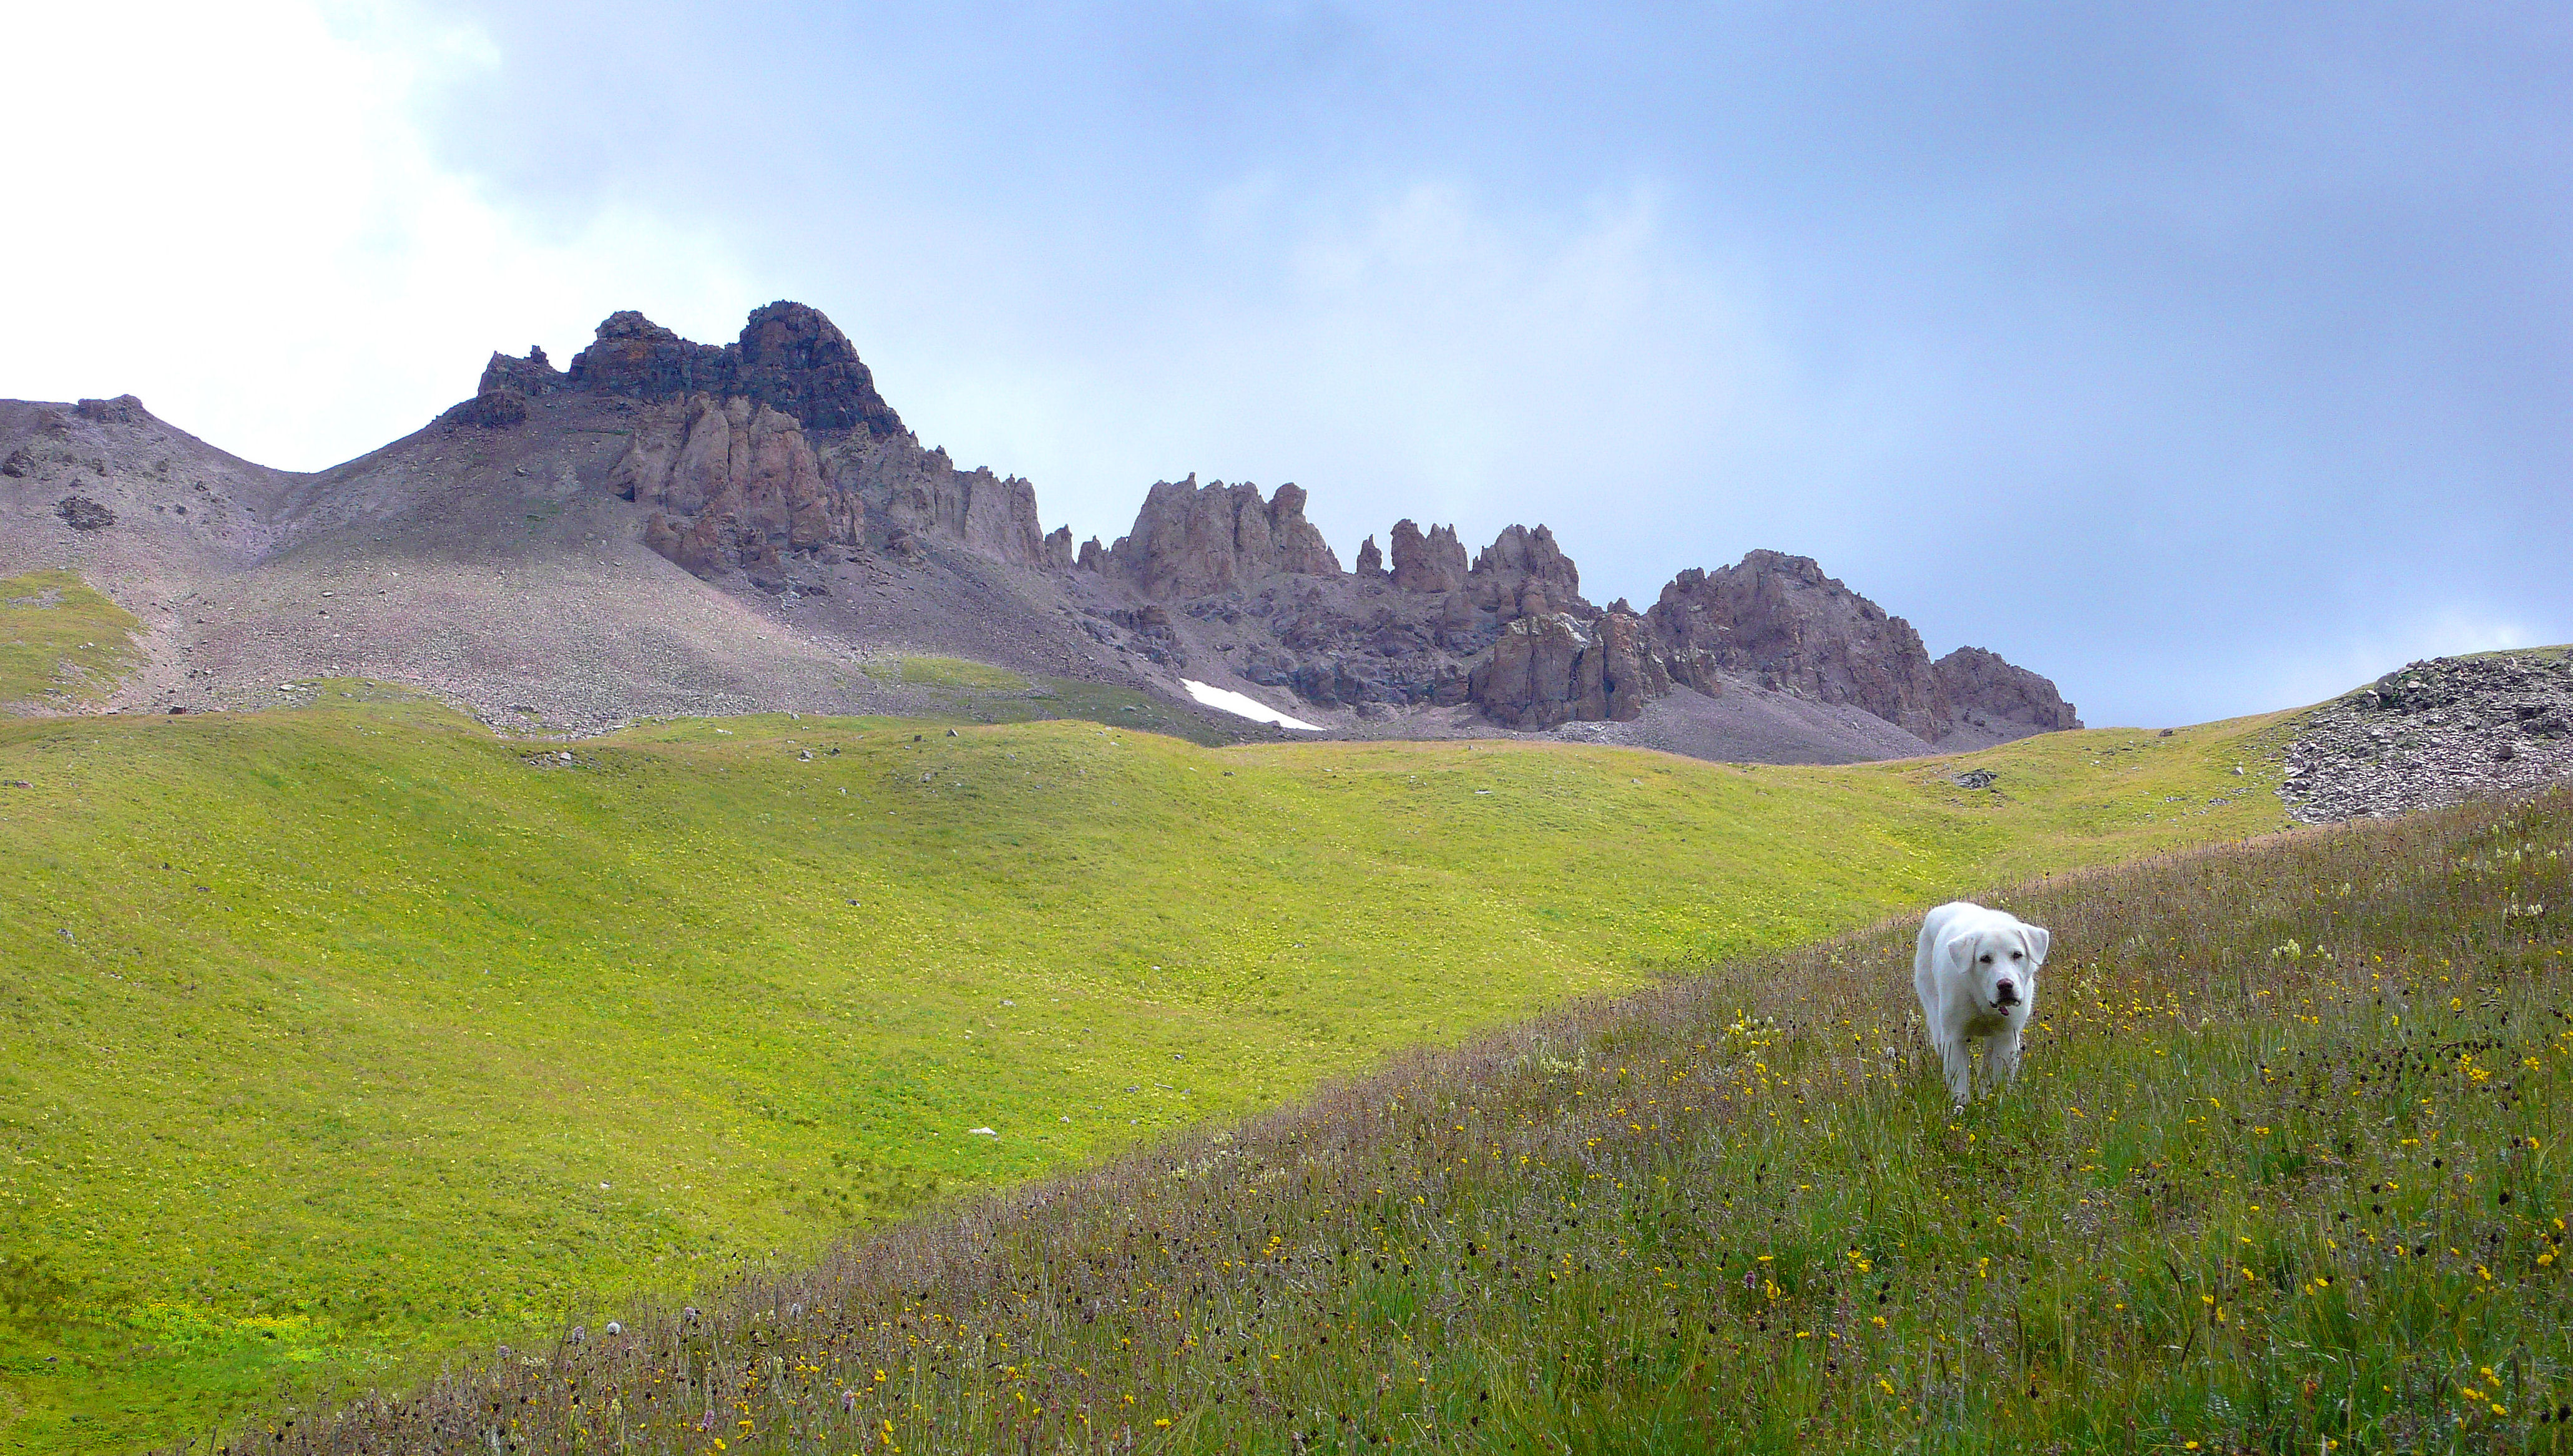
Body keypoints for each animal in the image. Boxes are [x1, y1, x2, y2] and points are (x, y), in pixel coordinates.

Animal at [1914, 900, 2048, 1106]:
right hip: (1936, 1022)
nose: (2005, 985)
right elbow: (1959, 1084)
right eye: (1985, 959)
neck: (1984, 1000)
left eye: (2017, 955)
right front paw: (1961, 1109)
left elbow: (2000, 1080)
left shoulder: (2007, 1037)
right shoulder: (1954, 1038)